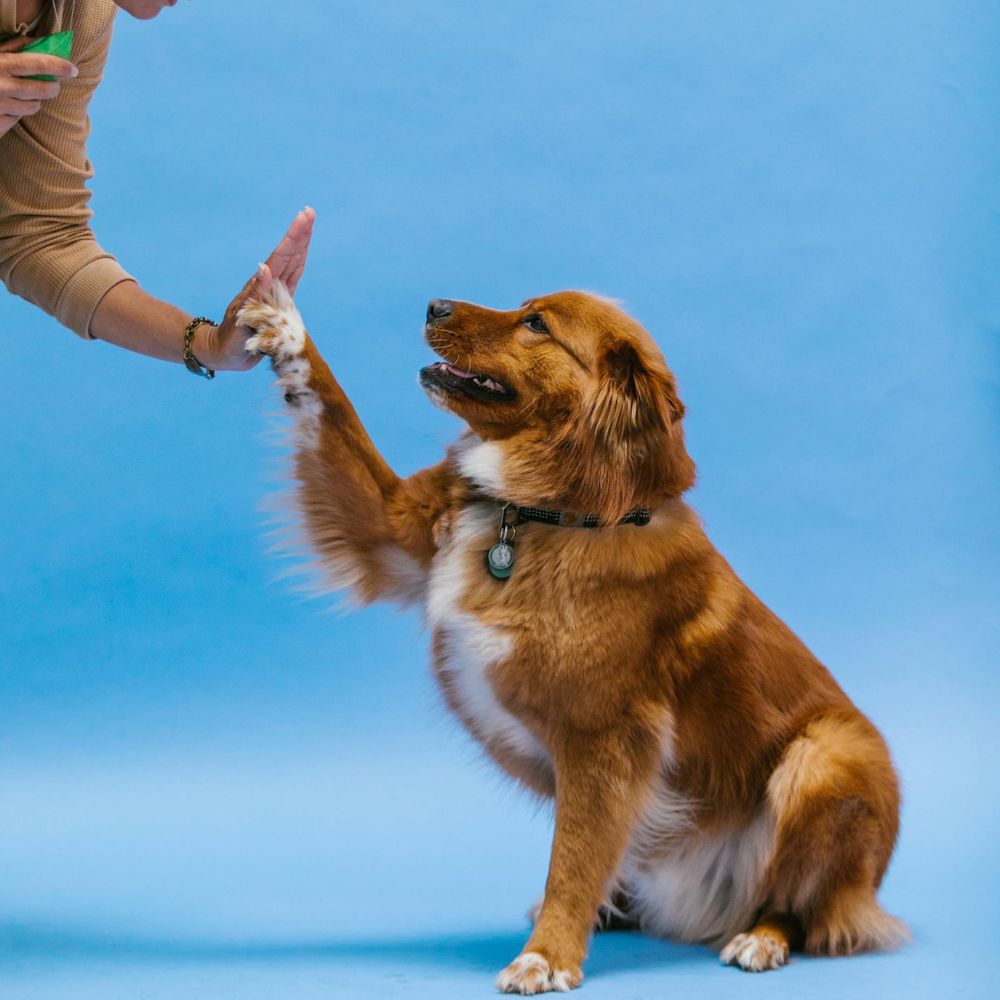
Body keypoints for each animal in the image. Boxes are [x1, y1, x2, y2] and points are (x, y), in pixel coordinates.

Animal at [236, 282, 908, 992]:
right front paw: (282, 326)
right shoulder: (388, 526)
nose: (433, 305)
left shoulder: (604, 740)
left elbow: (572, 860)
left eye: (536, 324)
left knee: (803, 903)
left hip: (826, 754)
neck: (543, 514)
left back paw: (760, 937)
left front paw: (545, 955)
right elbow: (331, 404)